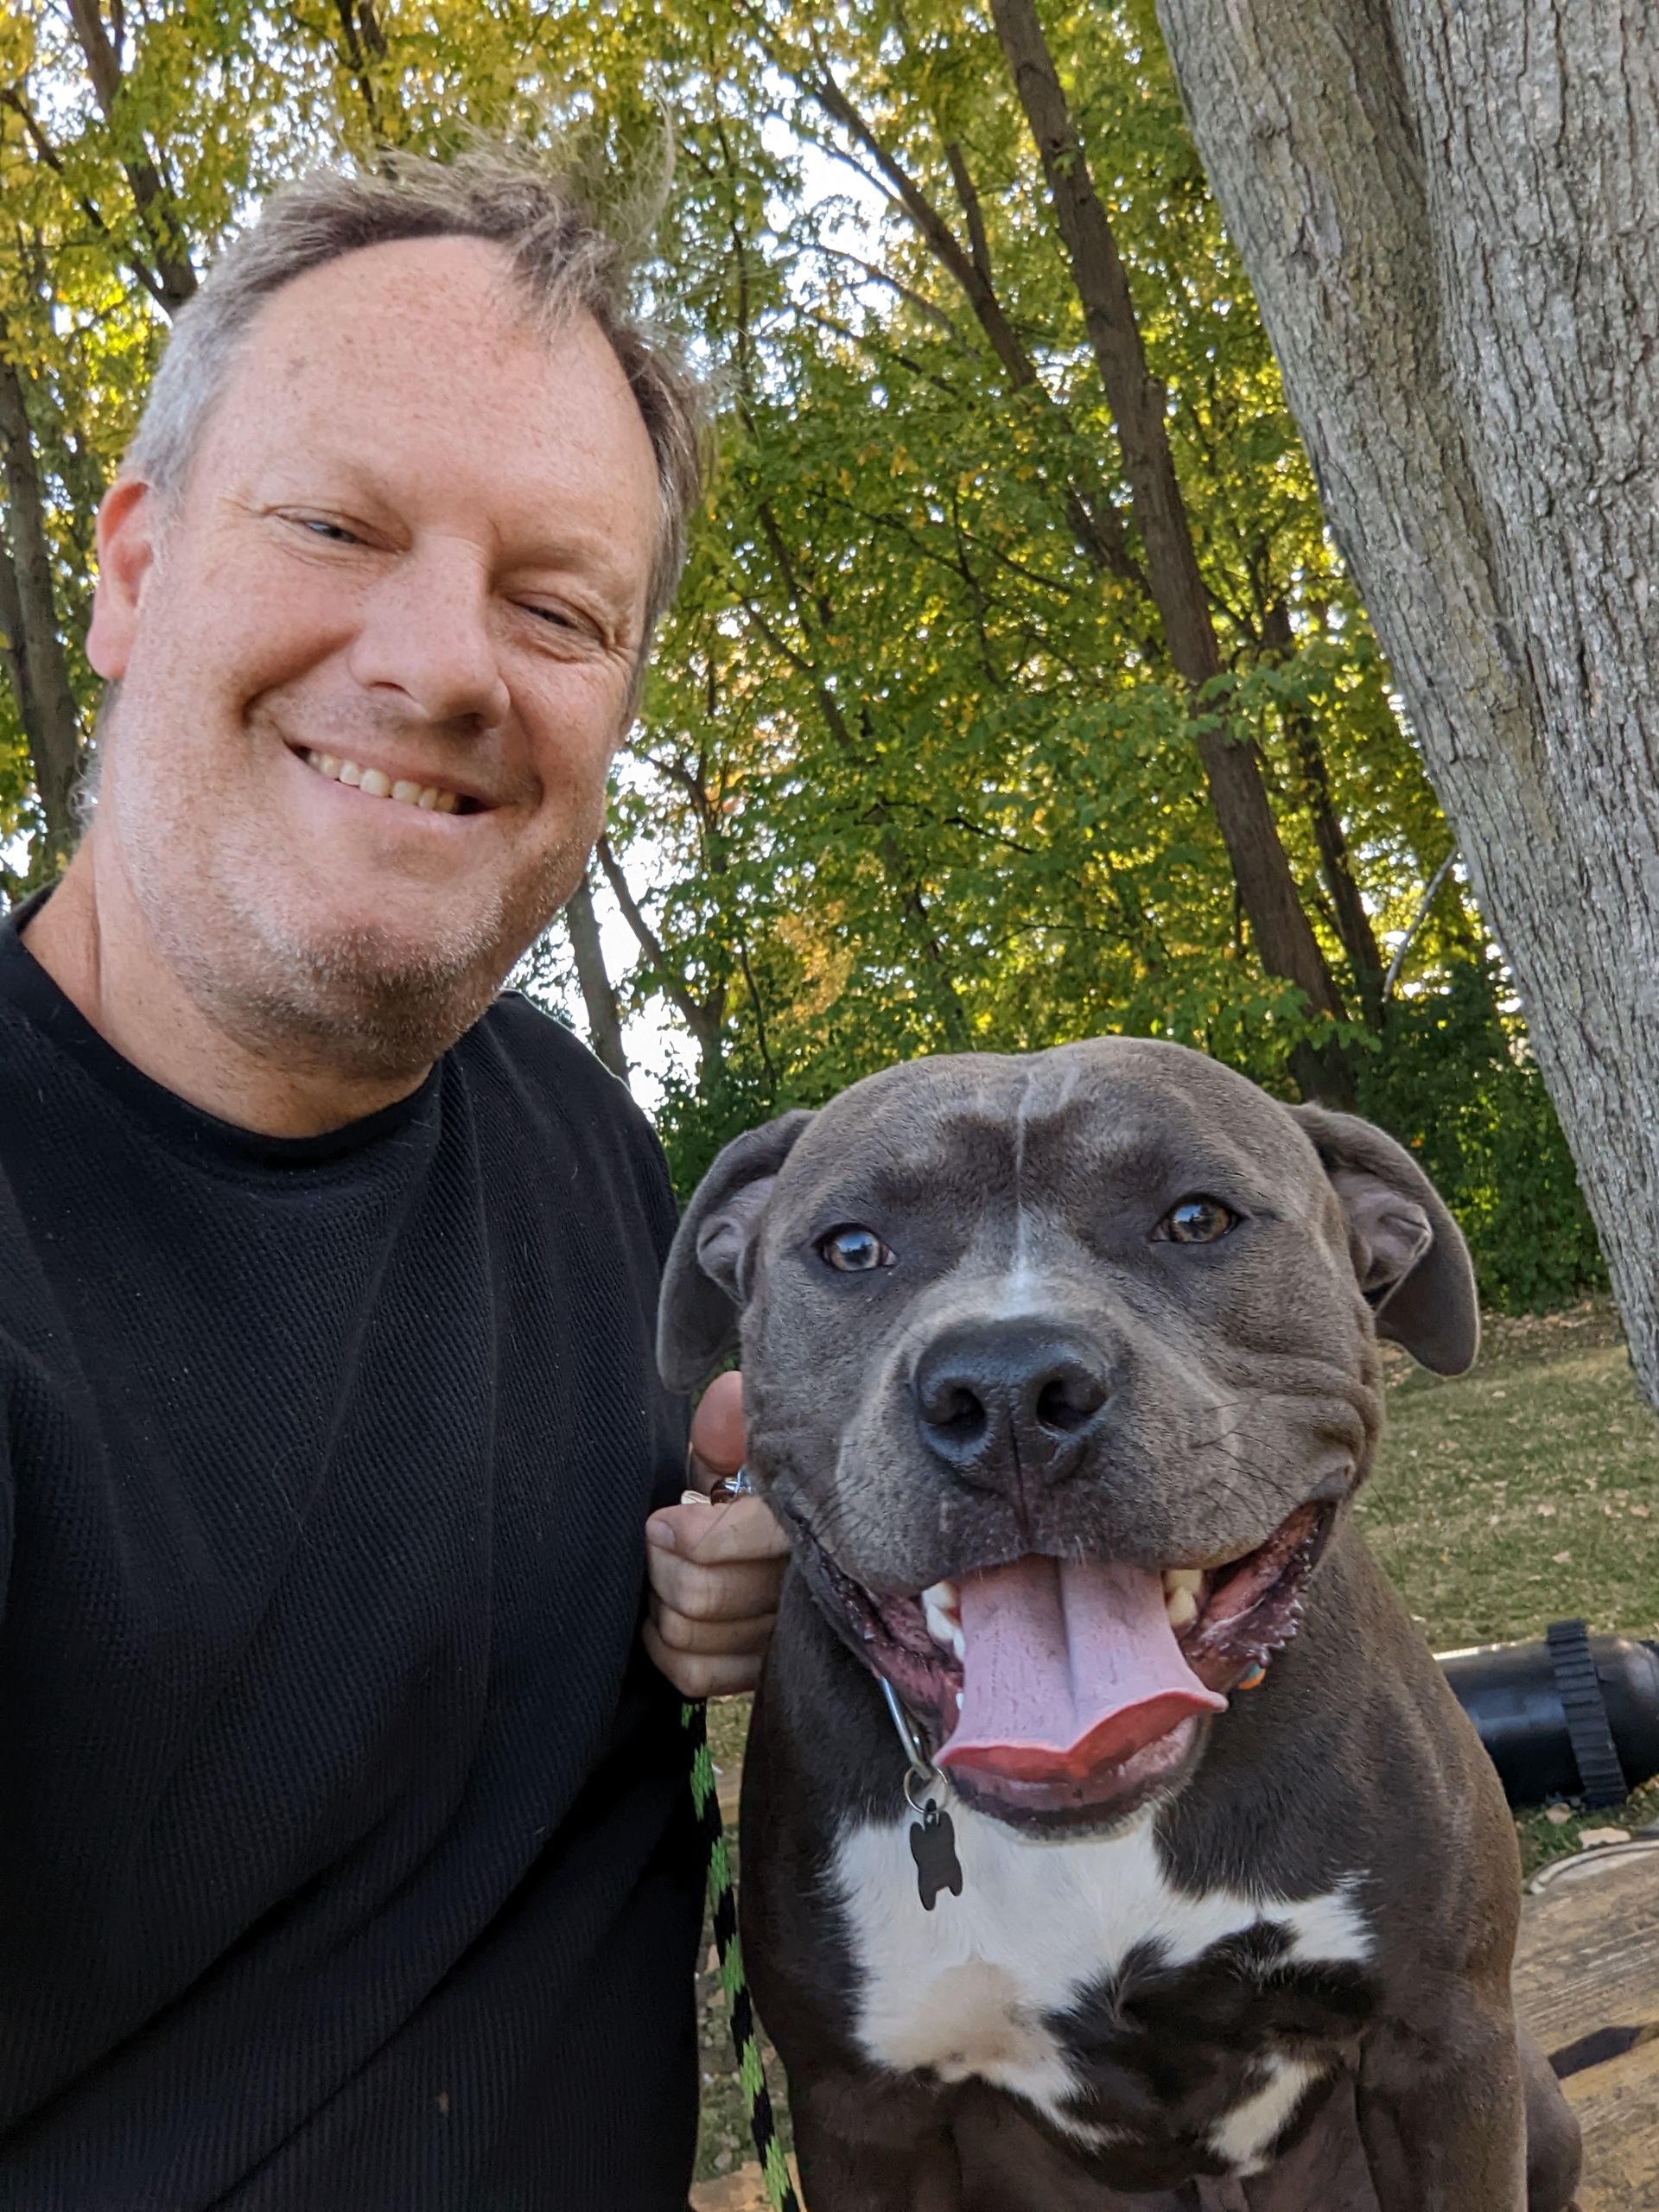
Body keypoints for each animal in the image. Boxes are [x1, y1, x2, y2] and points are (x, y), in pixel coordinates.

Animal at [664, 1039, 1583, 2212]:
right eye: (852, 1247)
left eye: (1195, 1219)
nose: (1009, 1386)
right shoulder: (861, 2115)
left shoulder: (1445, 2043)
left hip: (1532, 2098)